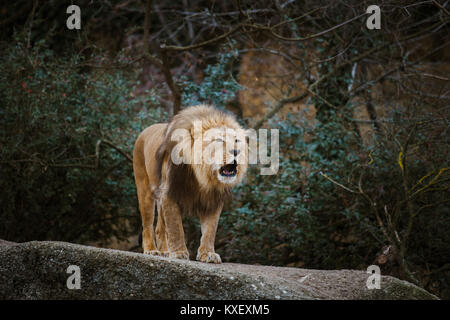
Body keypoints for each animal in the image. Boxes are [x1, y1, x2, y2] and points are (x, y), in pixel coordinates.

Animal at [132, 104, 248, 262]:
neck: (202, 175)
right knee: (147, 226)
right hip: (145, 191)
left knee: (159, 228)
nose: (236, 151)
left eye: (237, 141)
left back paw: (165, 252)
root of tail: (145, 130)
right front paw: (179, 253)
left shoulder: (213, 200)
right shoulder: (170, 193)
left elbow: (210, 230)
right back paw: (151, 250)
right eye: (219, 140)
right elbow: (176, 227)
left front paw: (208, 254)